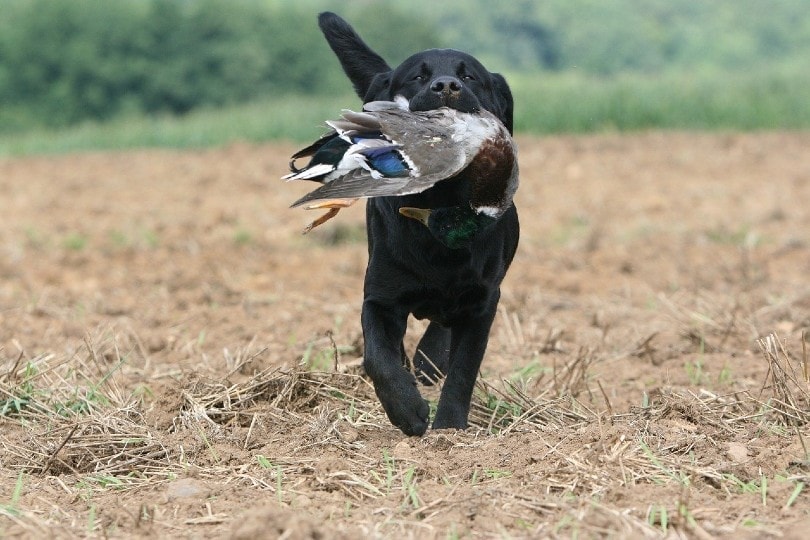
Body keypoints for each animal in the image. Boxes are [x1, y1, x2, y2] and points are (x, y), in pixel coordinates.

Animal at [316, 11, 516, 434]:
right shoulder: (379, 298)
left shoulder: (483, 302)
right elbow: (378, 357)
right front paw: (407, 411)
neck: (440, 202)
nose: (447, 85)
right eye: (417, 77)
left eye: (469, 76)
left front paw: (448, 427)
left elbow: (462, 370)